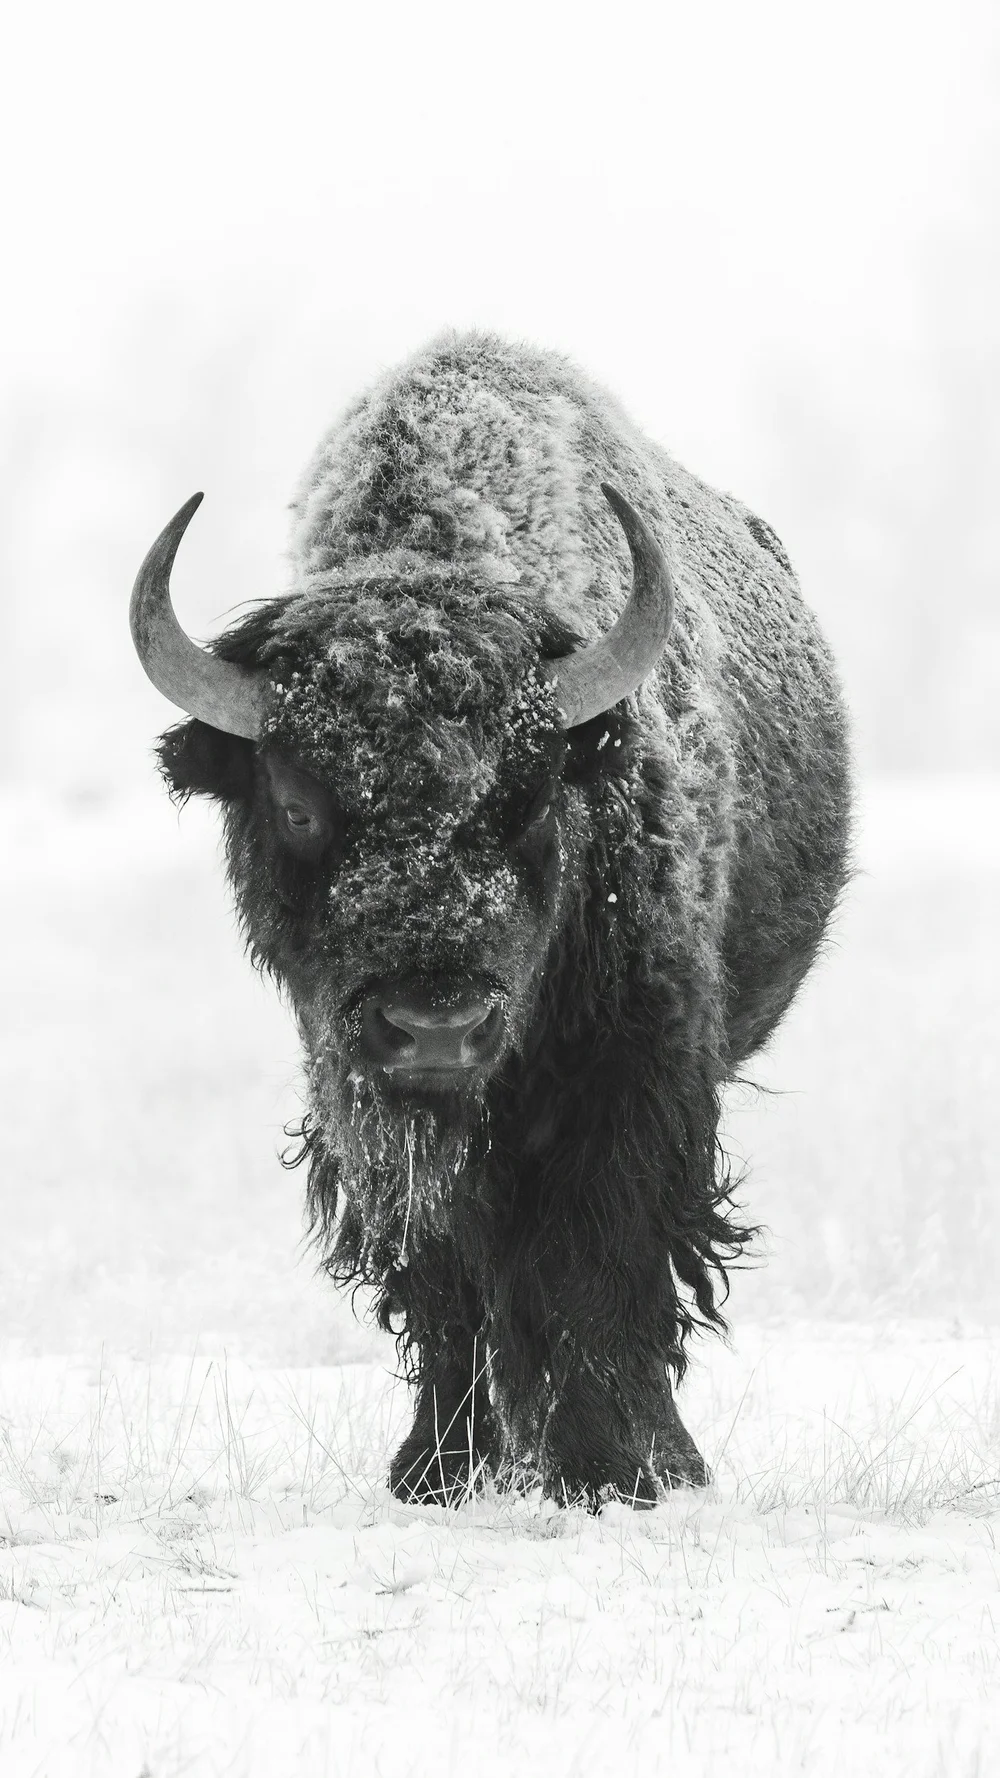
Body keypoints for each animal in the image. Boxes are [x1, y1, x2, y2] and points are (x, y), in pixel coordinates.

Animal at [131, 332, 851, 1507]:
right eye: (297, 804)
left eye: (532, 794)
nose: (436, 1026)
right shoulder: (361, 1095)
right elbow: (444, 1271)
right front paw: (437, 1468)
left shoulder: (637, 1074)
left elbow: (604, 1260)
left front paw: (617, 1470)